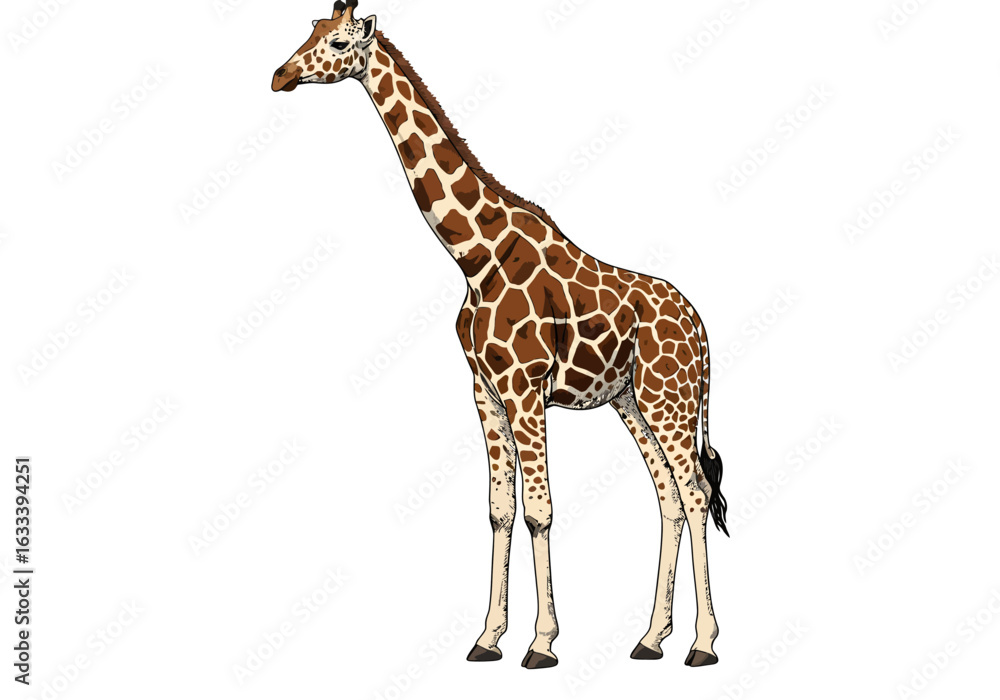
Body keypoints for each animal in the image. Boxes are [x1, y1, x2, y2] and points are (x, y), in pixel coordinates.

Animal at [272, 0, 729, 669]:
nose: (279, 76)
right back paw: (650, 639)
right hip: (631, 401)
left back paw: (702, 643)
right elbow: (499, 511)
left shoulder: (524, 388)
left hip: (667, 398)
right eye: (307, 29)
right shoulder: (484, 392)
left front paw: (541, 643)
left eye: (335, 42)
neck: (474, 255)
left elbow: (539, 510)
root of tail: (700, 329)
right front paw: (487, 638)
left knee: (694, 494)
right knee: (669, 497)